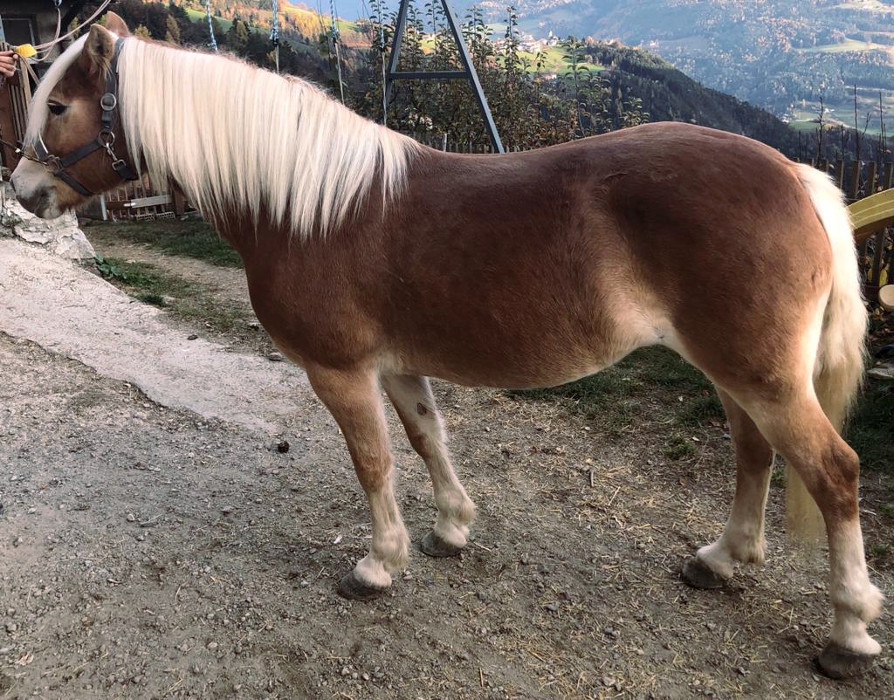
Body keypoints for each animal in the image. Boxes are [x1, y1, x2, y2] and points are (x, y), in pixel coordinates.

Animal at [11, 14, 883, 679]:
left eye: (60, 105)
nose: (22, 194)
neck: (307, 204)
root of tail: (795, 175)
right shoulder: (397, 366)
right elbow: (428, 438)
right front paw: (452, 528)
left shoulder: (339, 371)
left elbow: (374, 462)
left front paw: (378, 563)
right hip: (738, 372)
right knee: (756, 454)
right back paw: (722, 560)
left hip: (763, 375)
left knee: (833, 472)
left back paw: (848, 631)